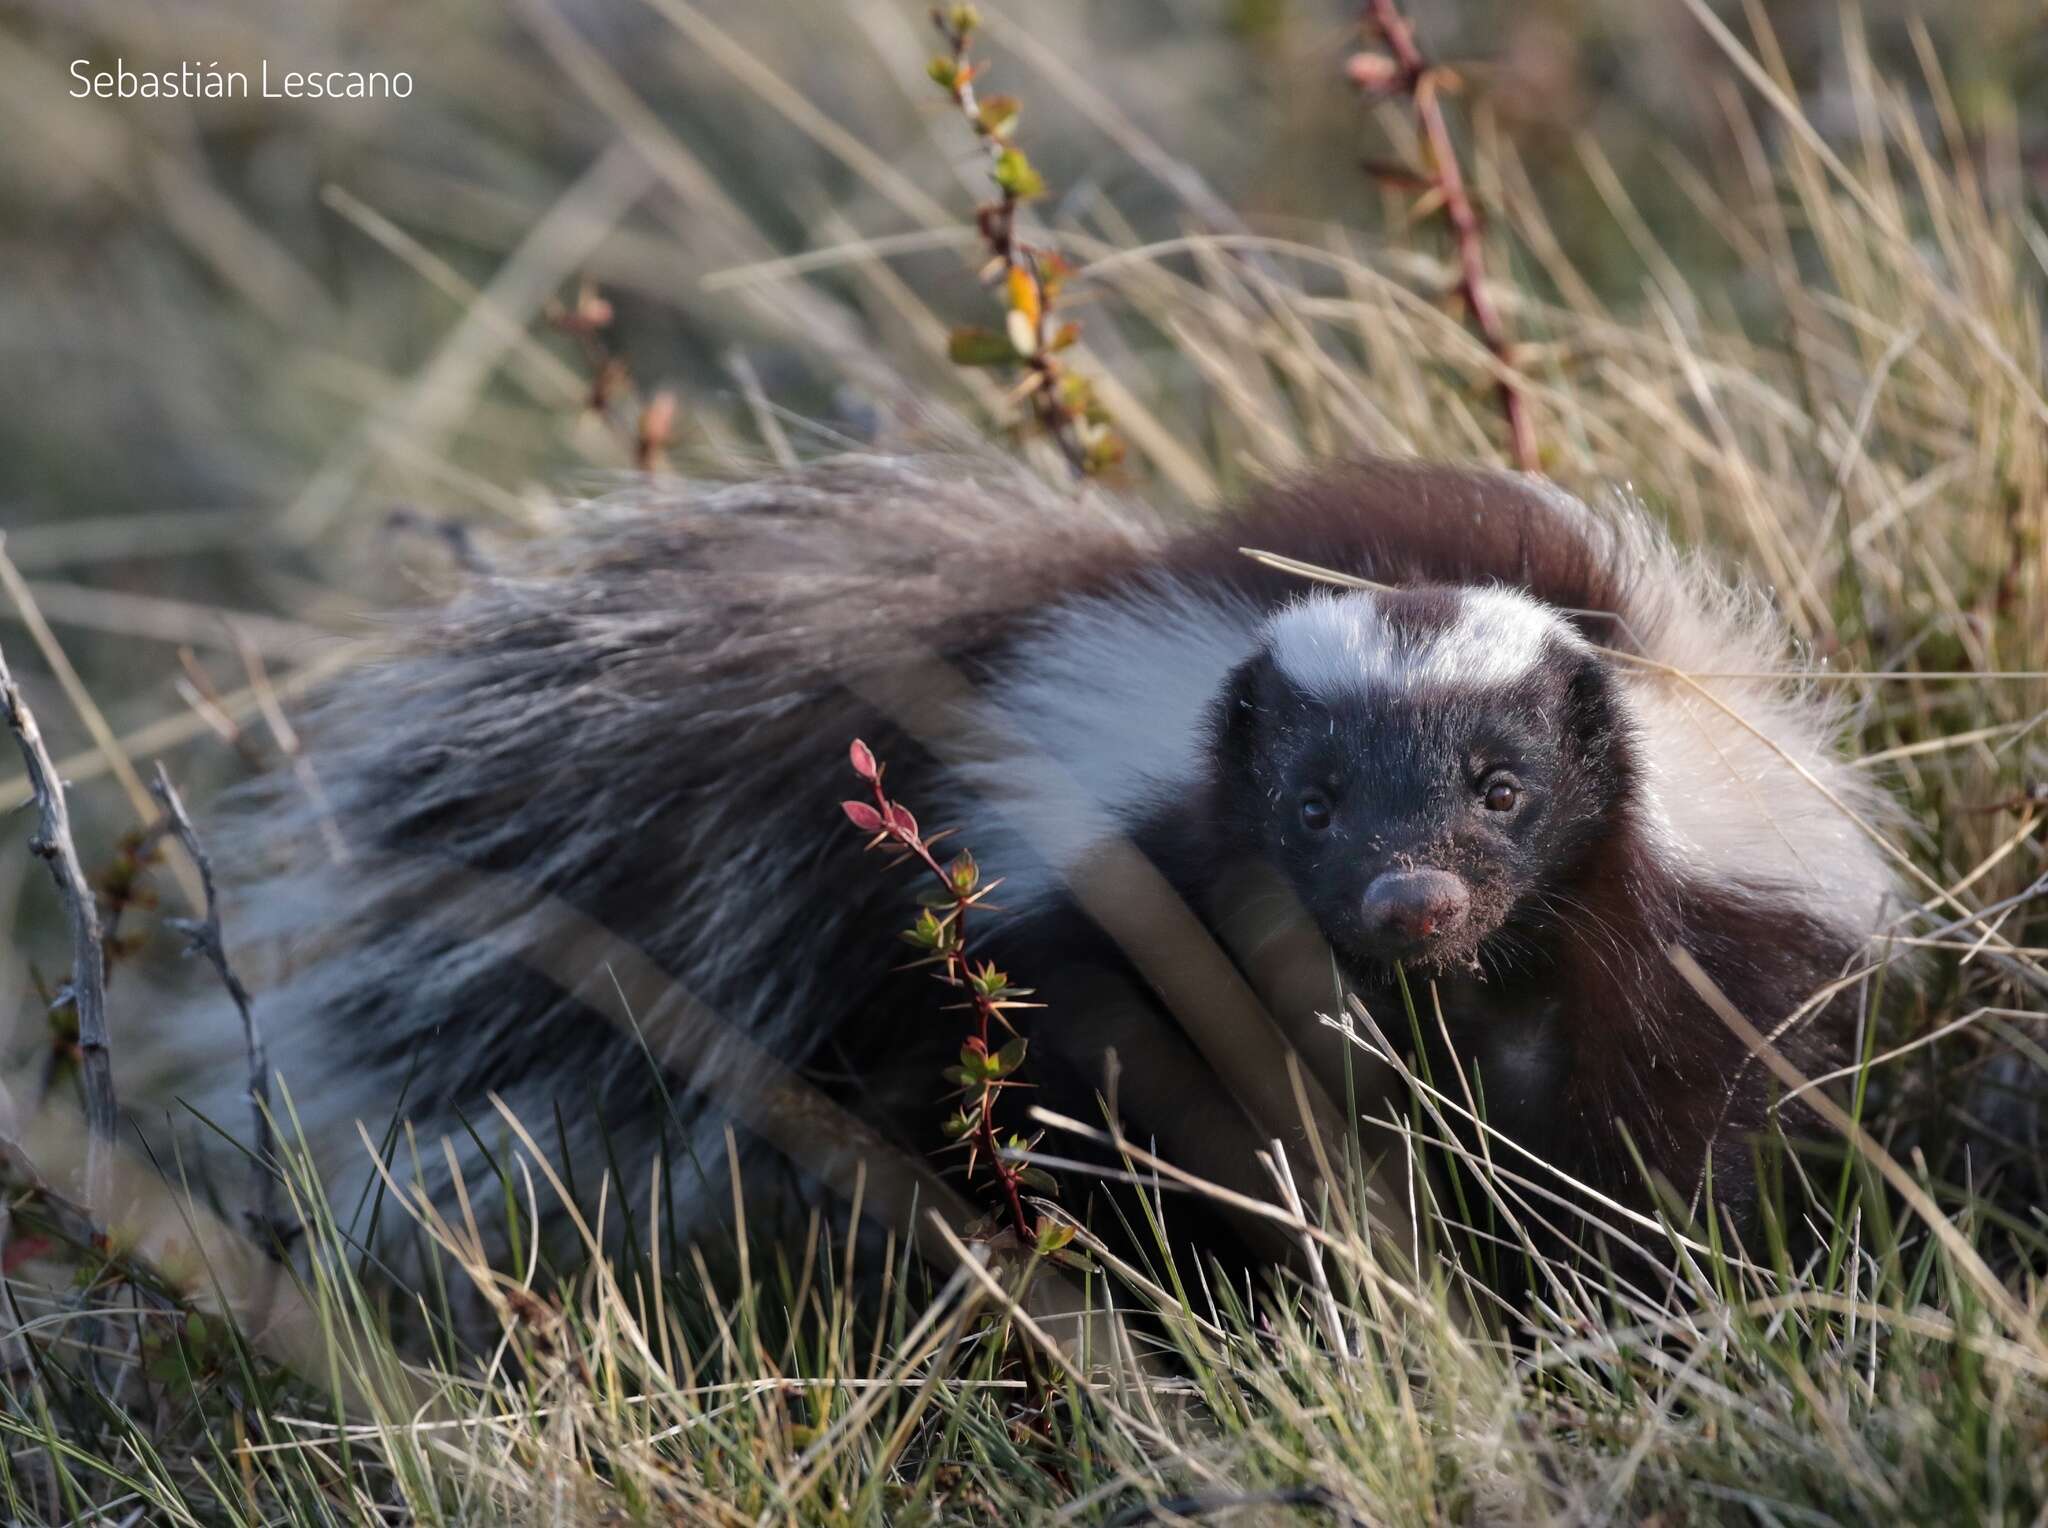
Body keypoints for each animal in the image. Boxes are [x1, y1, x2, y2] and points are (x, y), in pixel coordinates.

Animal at [159, 448, 1900, 1269]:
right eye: (1314, 806)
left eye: (1503, 791)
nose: (1411, 901)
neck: (1449, 996)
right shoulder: (1181, 930)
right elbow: (1252, 1143)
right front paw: (1329, 1291)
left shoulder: (1672, 943)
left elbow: (1648, 1154)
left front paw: (1618, 1309)